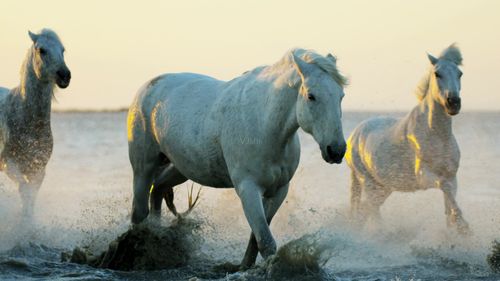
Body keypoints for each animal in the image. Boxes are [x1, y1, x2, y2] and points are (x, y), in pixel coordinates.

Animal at [0, 29, 71, 217]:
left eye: (63, 50)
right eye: (41, 50)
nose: (65, 75)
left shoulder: (38, 169)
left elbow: (31, 196)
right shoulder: (8, 164)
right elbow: (24, 190)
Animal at [128, 48, 348, 266]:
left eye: (341, 96)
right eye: (311, 96)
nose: (336, 150)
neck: (265, 125)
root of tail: (147, 88)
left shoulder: (278, 191)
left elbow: (256, 240)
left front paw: (244, 267)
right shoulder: (248, 188)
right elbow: (265, 242)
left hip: (181, 169)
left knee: (157, 191)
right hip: (143, 169)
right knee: (139, 211)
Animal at [346, 44, 470, 233]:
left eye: (460, 73)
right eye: (437, 74)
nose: (453, 103)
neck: (436, 135)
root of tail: (354, 135)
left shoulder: (451, 175)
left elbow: (449, 201)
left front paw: (454, 231)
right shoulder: (424, 176)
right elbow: (444, 187)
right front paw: (464, 228)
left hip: (384, 186)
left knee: (364, 210)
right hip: (367, 182)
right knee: (370, 209)